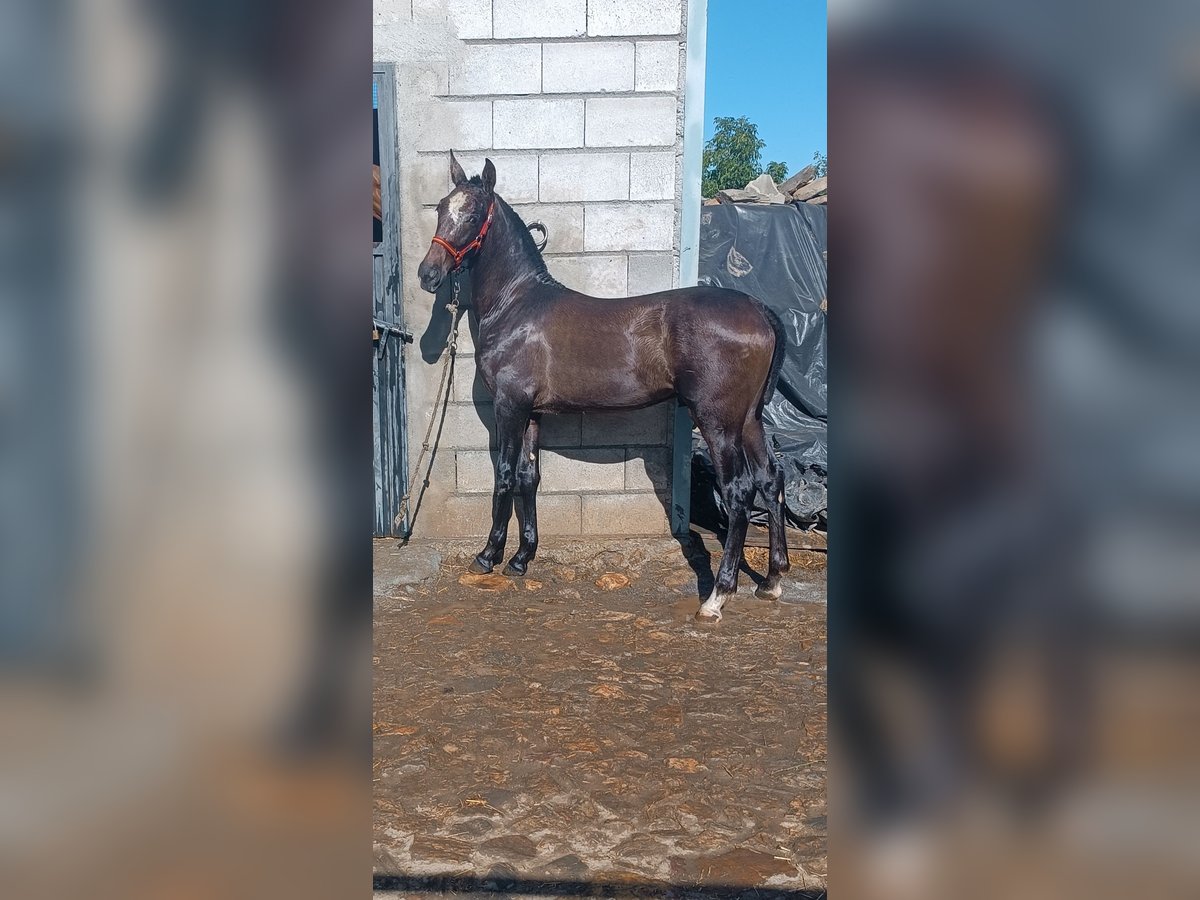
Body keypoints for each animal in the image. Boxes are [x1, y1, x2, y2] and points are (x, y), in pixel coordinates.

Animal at [417, 153, 792, 619]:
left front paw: (488, 556)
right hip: (750, 419)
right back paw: (772, 581)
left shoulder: (510, 406)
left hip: (718, 422)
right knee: (770, 480)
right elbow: (528, 477)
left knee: (739, 491)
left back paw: (717, 596)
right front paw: (521, 559)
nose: (428, 274)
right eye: (440, 208)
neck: (516, 304)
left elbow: (503, 475)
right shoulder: (532, 413)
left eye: (470, 215)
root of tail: (759, 308)